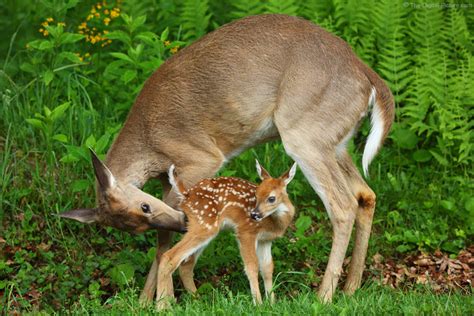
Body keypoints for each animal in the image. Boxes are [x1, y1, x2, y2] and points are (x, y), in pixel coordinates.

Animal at [59, 13, 394, 302]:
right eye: (134, 227)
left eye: (144, 207)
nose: (181, 225)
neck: (149, 142)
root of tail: (368, 77)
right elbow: (162, 241)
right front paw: (144, 300)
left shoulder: (201, 159)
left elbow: (167, 235)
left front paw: (159, 299)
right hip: (335, 143)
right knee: (365, 193)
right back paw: (350, 288)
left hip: (305, 135)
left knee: (343, 204)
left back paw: (324, 296)